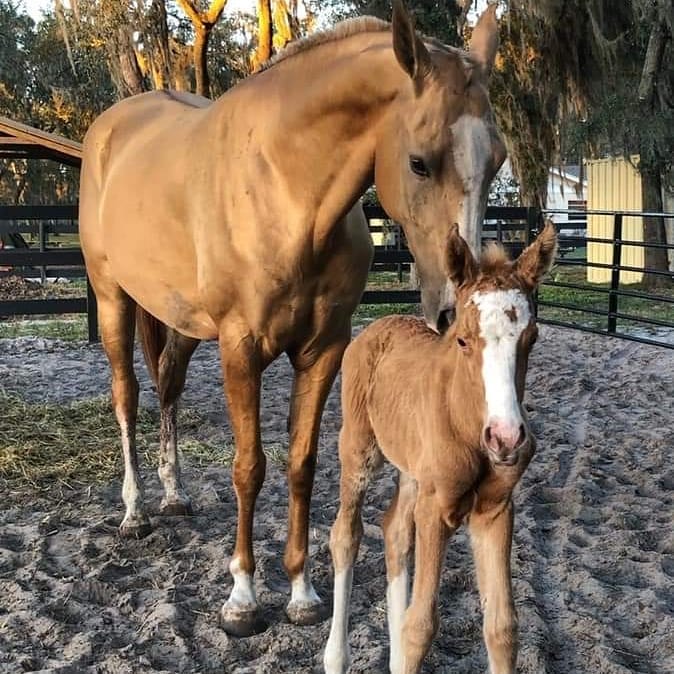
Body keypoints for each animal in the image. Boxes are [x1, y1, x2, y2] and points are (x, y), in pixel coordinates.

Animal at [78, 1, 506, 636]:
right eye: (419, 163)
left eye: (496, 160)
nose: (456, 310)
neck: (284, 190)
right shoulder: (241, 349)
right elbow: (249, 468)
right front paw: (243, 597)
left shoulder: (323, 350)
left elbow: (301, 463)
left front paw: (302, 591)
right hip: (113, 299)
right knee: (127, 395)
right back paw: (135, 512)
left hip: (181, 322)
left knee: (168, 384)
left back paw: (174, 493)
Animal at [324, 222, 557, 674]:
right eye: (463, 340)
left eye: (532, 339)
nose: (506, 438)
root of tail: (379, 324)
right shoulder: (435, 508)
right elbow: (421, 625)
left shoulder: (495, 510)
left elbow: (502, 626)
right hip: (359, 449)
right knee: (346, 534)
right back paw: (335, 657)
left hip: (412, 472)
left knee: (395, 530)